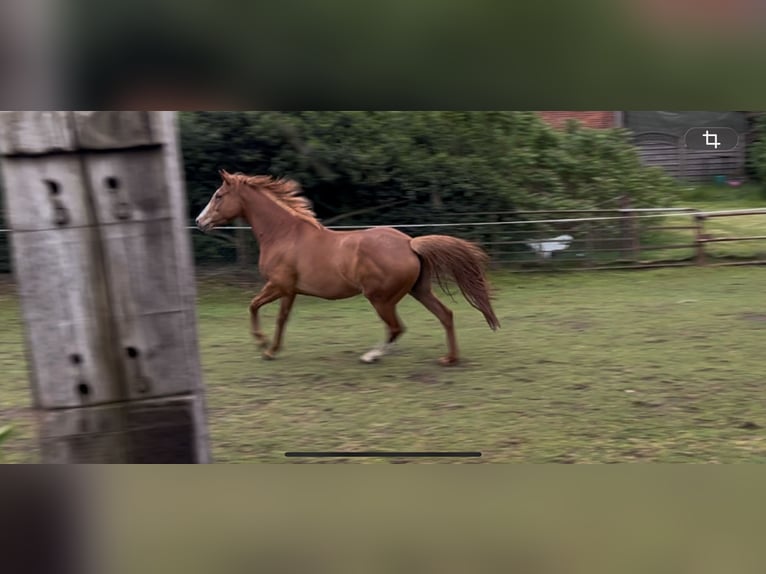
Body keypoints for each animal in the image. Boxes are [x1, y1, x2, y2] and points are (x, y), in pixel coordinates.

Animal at [195, 170, 500, 365]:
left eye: (219, 195)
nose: (200, 222)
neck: (284, 234)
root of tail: (410, 243)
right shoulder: (289, 290)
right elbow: (280, 318)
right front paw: (270, 349)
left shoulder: (279, 285)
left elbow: (256, 307)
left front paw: (263, 345)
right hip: (418, 291)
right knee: (444, 315)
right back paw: (449, 358)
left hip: (381, 298)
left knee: (396, 327)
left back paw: (371, 356)